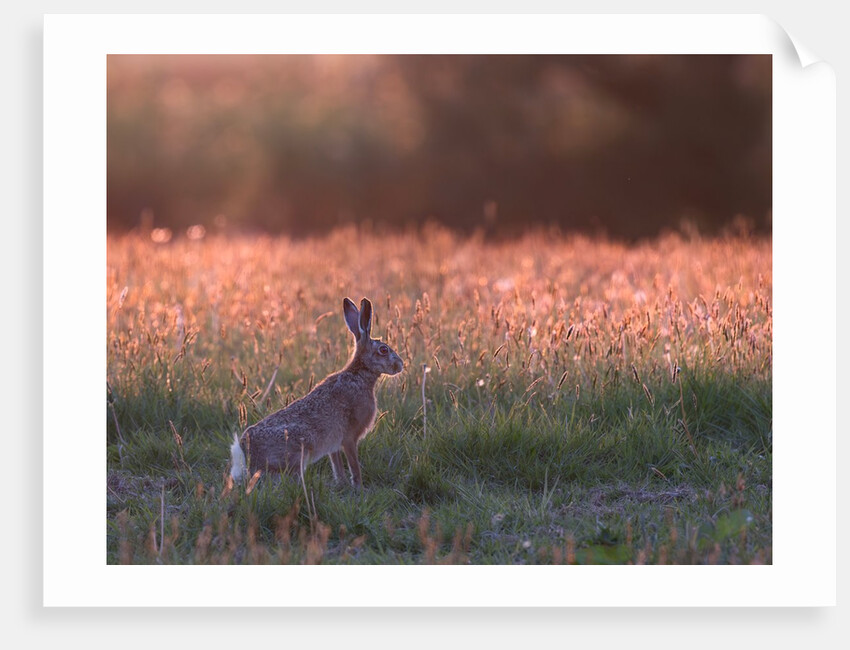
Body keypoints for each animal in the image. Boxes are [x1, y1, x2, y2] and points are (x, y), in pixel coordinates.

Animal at [230, 297, 403, 488]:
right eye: (384, 350)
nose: (400, 365)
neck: (360, 373)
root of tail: (244, 452)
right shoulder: (349, 438)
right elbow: (354, 465)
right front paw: (359, 487)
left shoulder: (334, 445)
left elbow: (337, 465)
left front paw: (342, 483)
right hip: (300, 447)